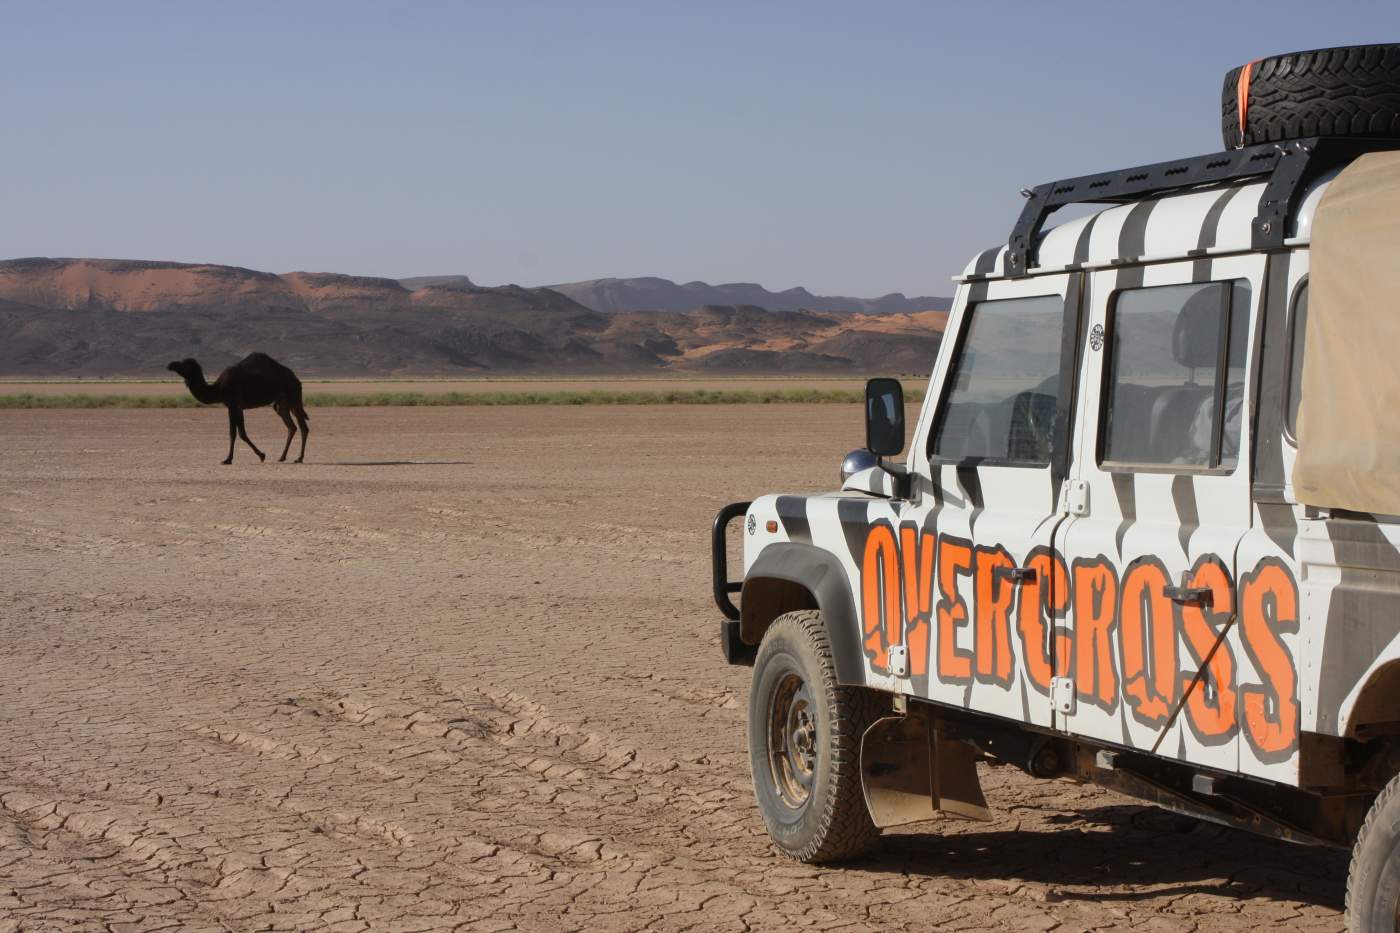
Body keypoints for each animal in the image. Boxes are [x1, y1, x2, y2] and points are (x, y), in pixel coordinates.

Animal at [168, 350, 310, 462]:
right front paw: (258, 455)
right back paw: (282, 457)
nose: (170, 365)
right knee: (291, 426)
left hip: (294, 396)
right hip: (280, 403)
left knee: (303, 427)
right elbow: (239, 433)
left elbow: (236, 433)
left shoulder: (233, 404)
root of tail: (296, 379)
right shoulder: (236, 407)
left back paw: (299, 458)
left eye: (185, 364)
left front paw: (230, 459)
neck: (219, 389)